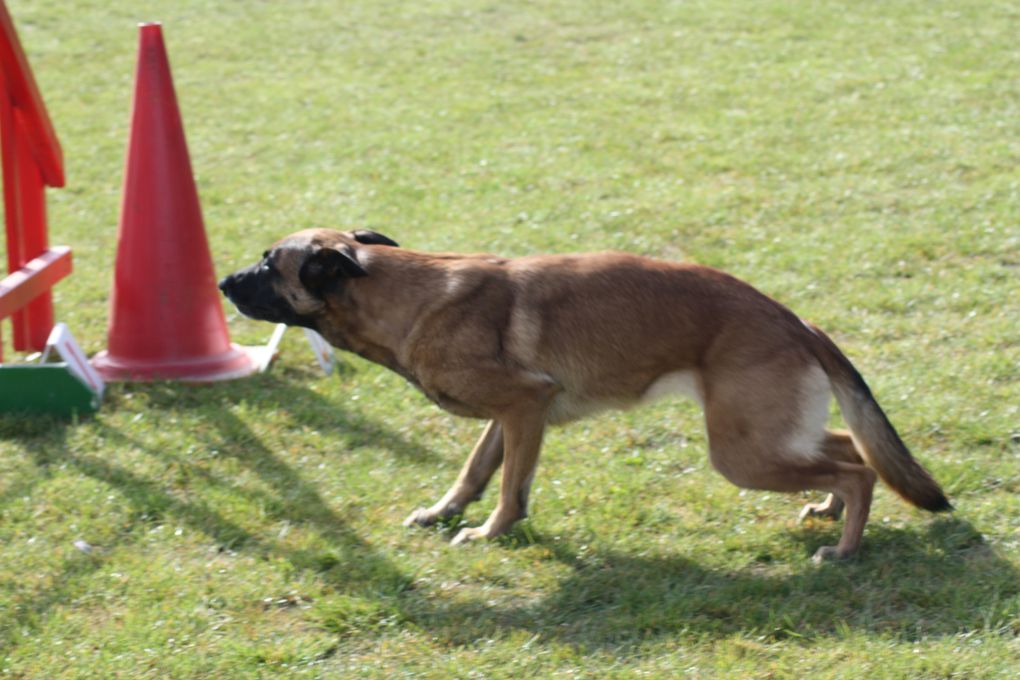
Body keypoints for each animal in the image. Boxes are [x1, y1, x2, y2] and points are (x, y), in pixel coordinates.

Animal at [219, 231, 950, 562]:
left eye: (268, 264)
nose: (223, 282)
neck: (400, 293)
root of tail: (797, 321)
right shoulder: (510, 417)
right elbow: (476, 470)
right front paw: (445, 512)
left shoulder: (524, 406)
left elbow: (509, 487)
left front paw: (490, 533)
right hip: (768, 435)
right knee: (848, 448)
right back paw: (827, 511)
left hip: (742, 452)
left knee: (858, 469)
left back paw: (845, 548)